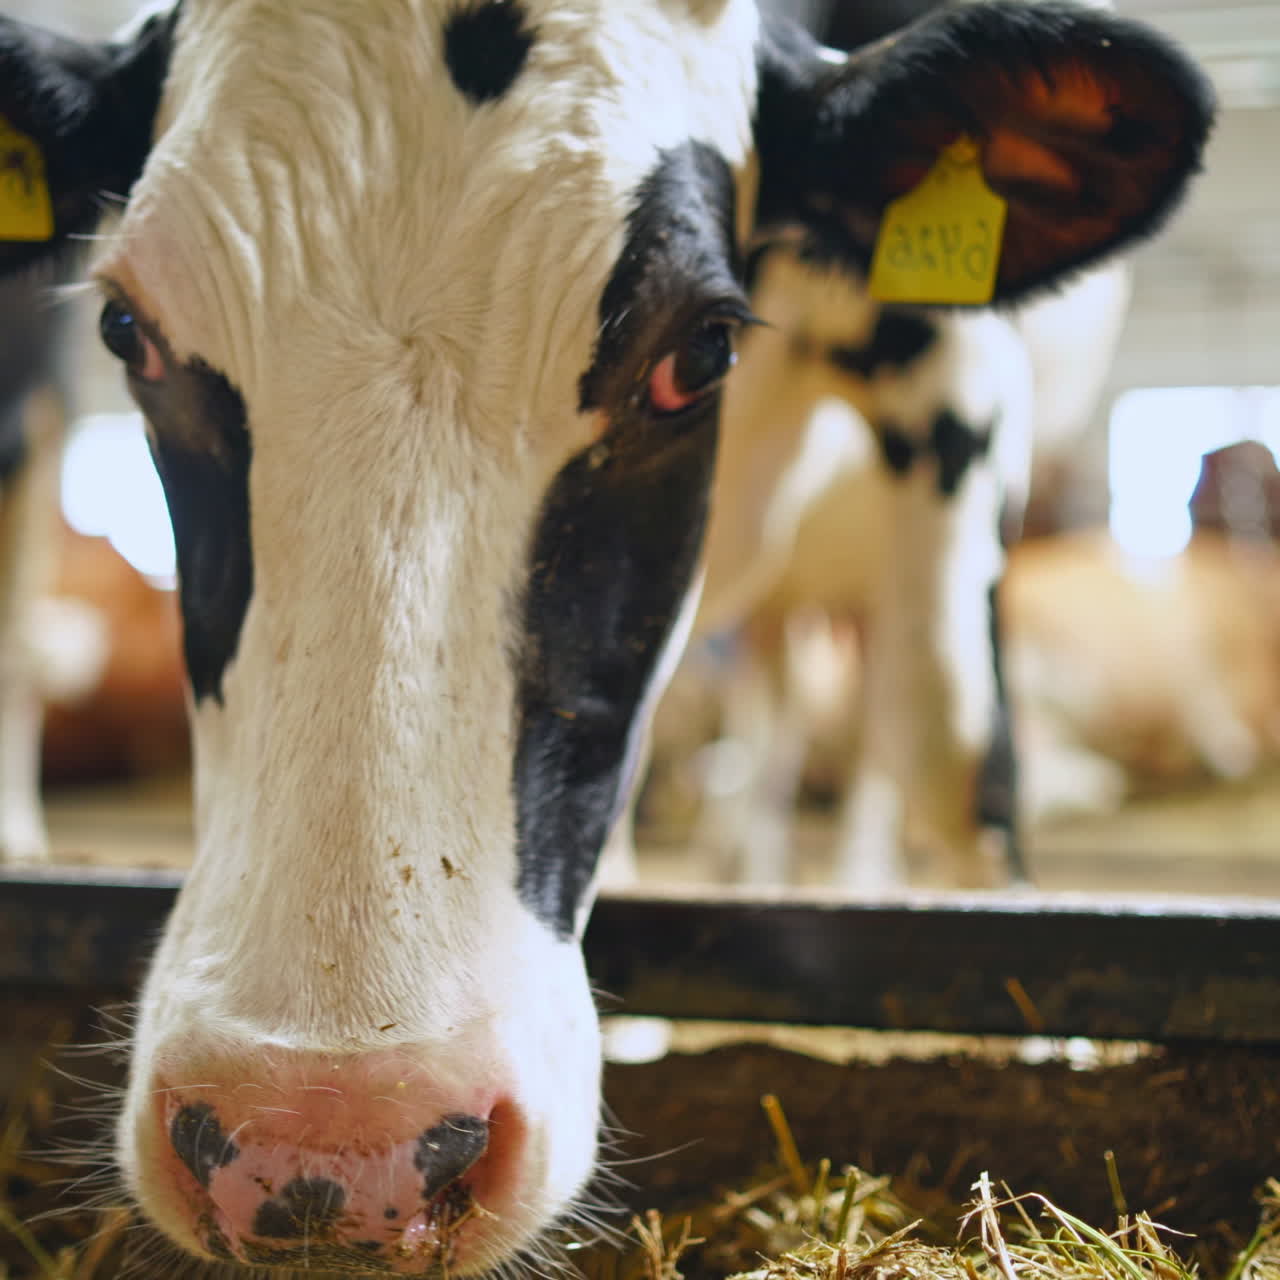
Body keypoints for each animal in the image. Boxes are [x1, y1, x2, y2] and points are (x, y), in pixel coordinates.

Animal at [0, 1, 1211, 1274]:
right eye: (126, 330)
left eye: (699, 351)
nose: (329, 1141)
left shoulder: (957, 374)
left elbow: (951, 742)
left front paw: (1037, 1056)